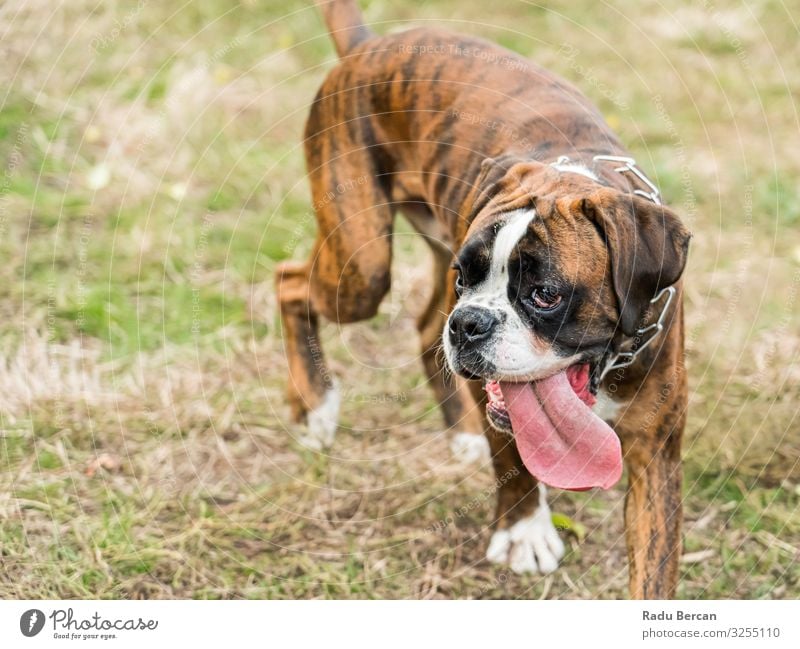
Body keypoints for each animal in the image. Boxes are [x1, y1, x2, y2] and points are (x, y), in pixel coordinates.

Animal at [276, 0, 688, 596]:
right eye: (465, 278)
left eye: (545, 295)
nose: (469, 323)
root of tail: (366, 46)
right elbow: (511, 456)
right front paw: (525, 531)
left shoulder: (657, 458)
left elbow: (653, 575)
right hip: (362, 264)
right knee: (289, 283)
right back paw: (317, 406)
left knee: (423, 328)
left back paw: (457, 432)